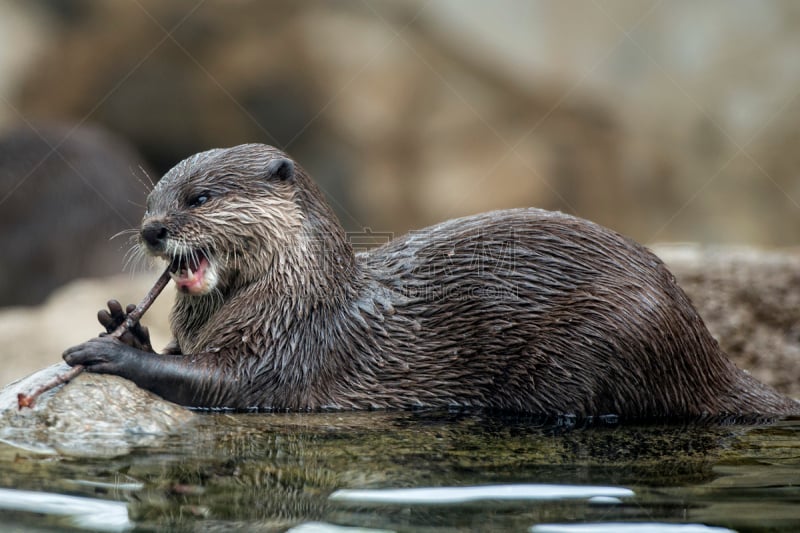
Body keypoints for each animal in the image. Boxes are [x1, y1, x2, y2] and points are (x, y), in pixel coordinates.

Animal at [64, 143, 800, 418]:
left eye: (201, 198)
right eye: (152, 198)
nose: (152, 230)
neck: (298, 294)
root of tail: (705, 348)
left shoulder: (291, 343)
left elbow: (223, 383)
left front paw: (107, 351)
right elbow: (182, 357)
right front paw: (118, 321)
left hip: (612, 331)